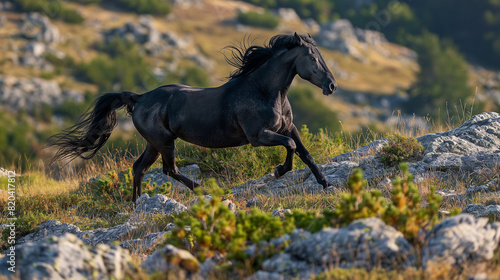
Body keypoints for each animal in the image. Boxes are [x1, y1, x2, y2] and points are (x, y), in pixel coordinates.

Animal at [47, 33, 336, 201]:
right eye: (312, 57)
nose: (331, 86)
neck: (264, 91)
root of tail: (139, 98)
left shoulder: (289, 127)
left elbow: (304, 152)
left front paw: (325, 184)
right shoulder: (259, 136)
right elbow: (291, 148)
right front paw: (279, 171)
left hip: (154, 143)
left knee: (139, 168)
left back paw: (136, 205)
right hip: (164, 142)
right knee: (169, 169)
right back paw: (204, 191)